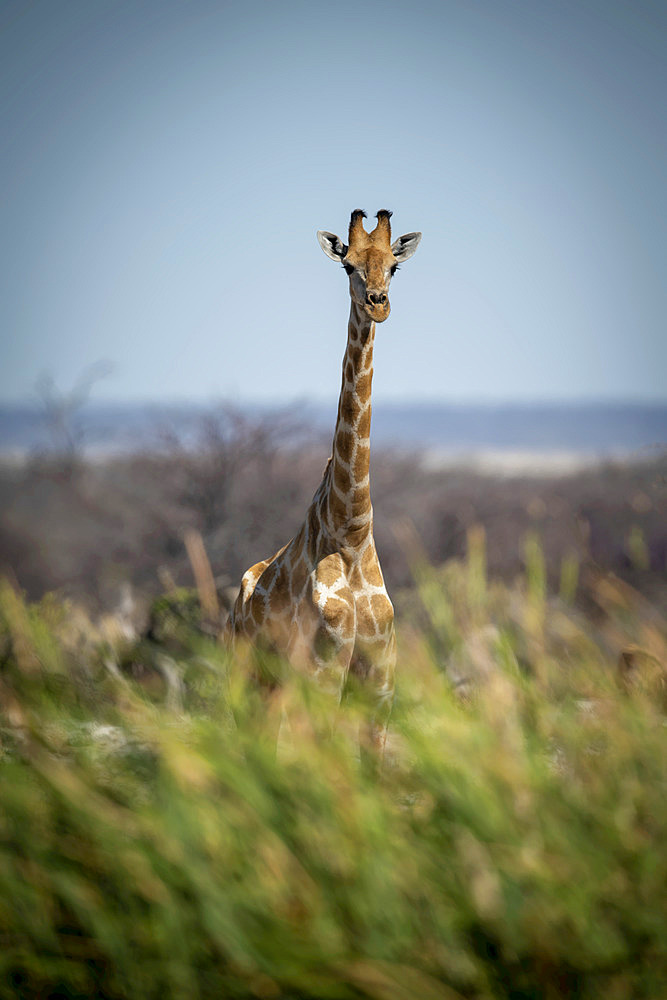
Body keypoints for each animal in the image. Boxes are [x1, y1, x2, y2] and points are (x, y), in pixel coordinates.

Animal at [227, 211, 420, 756]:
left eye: (394, 266)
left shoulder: (379, 684)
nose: (378, 304)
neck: (351, 529)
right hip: (245, 674)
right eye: (347, 265)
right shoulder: (323, 670)